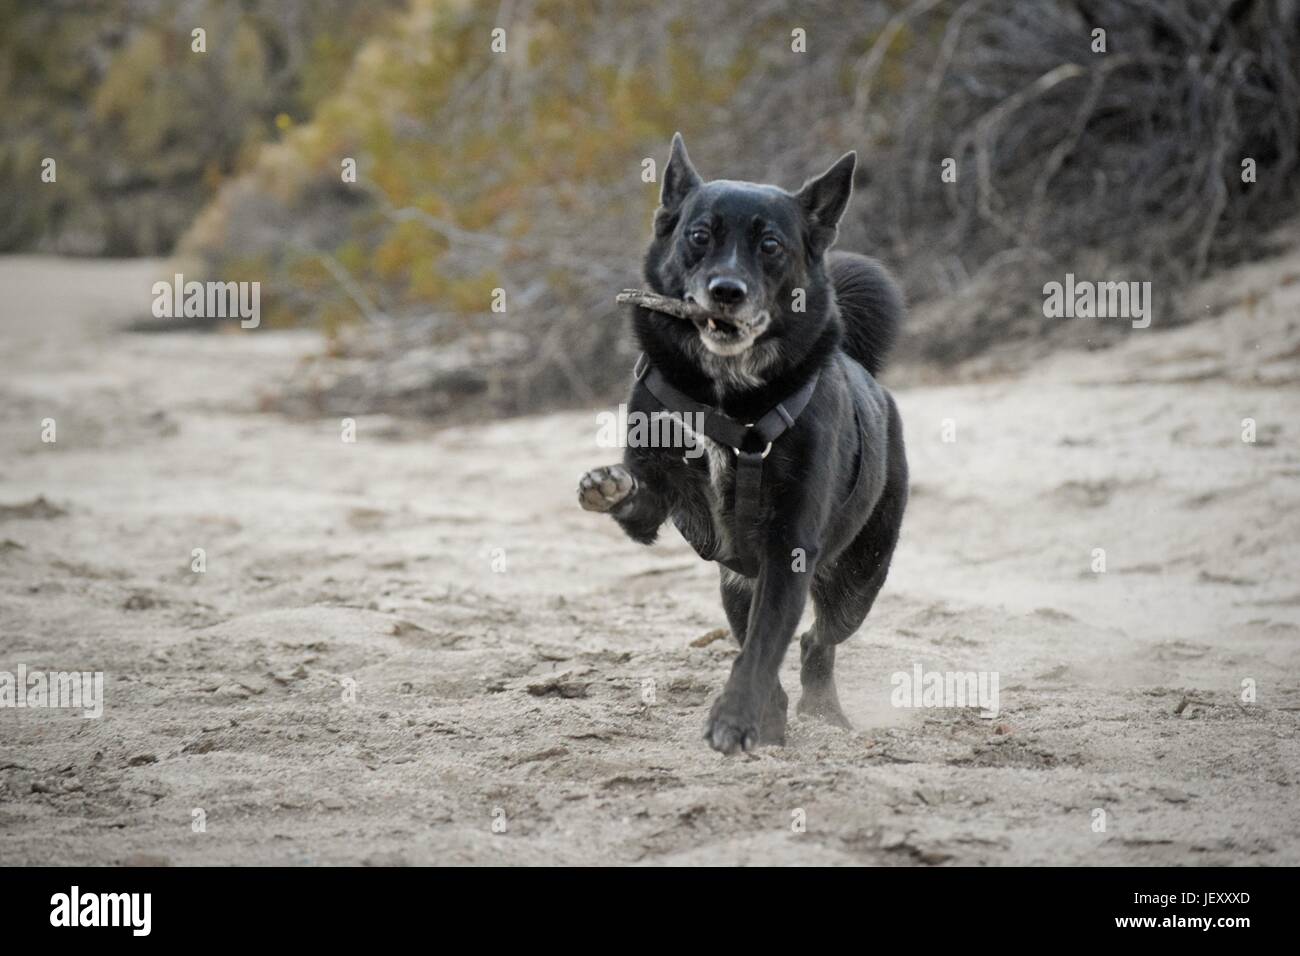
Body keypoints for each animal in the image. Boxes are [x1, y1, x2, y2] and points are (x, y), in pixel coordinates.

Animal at [579, 134, 904, 754]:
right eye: (699, 235)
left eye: (771, 245)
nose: (725, 292)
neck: (728, 397)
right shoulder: (659, 507)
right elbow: (640, 494)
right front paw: (609, 486)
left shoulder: (789, 547)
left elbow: (763, 645)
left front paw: (734, 717)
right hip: (736, 587)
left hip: (858, 580)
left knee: (815, 641)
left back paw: (820, 714)